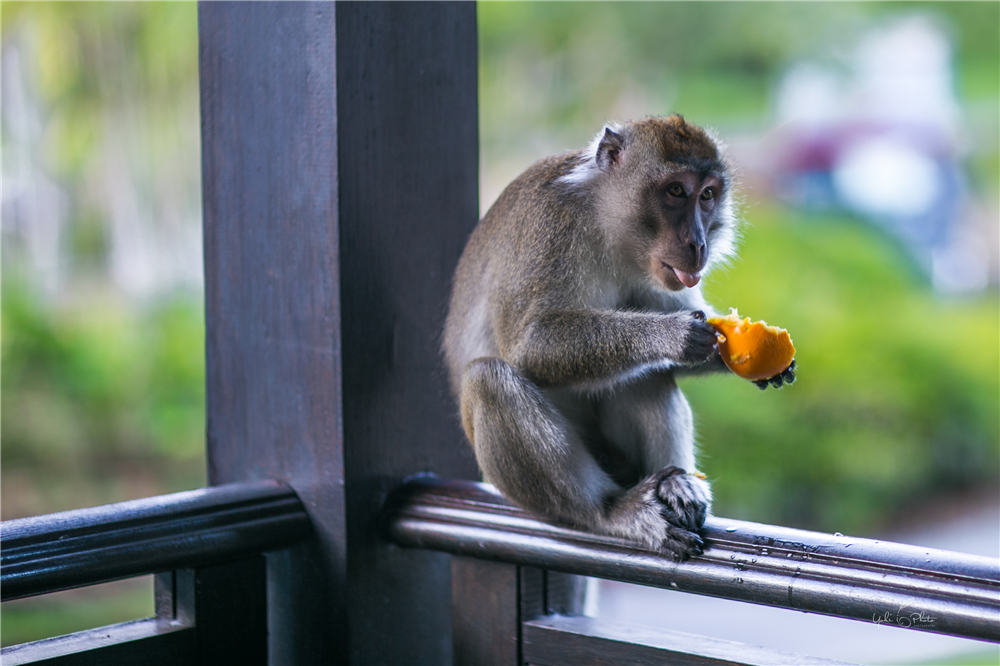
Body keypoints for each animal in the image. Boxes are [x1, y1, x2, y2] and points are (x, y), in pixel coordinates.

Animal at [442, 115, 792, 560]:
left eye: (708, 196)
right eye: (676, 191)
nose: (699, 243)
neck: (605, 225)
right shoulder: (549, 228)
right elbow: (529, 345)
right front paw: (672, 334)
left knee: (645, 377)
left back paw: (673, 483)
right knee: (489, 378)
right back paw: (611, 511)